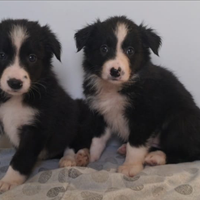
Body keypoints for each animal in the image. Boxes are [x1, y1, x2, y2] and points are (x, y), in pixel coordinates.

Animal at [0, 19, 85, 192]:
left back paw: (71, 158)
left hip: (76, 117)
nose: (15, 83)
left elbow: (22, 156)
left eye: (32, 57)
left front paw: (10, 180)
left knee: (73, 143)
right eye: (2, 55)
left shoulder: (37, 127)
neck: (15, 99)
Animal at [74, 16, 200, 177]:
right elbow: (98, 138)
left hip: (182, 120)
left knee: (190, 151)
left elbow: (136, 143)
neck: (115, 88)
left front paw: (130, 166)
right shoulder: (100, 111)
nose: (115, 71)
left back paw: (157, 156)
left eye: (130, 50)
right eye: (104, 48)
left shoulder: (144, 115)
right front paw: (91, 157)